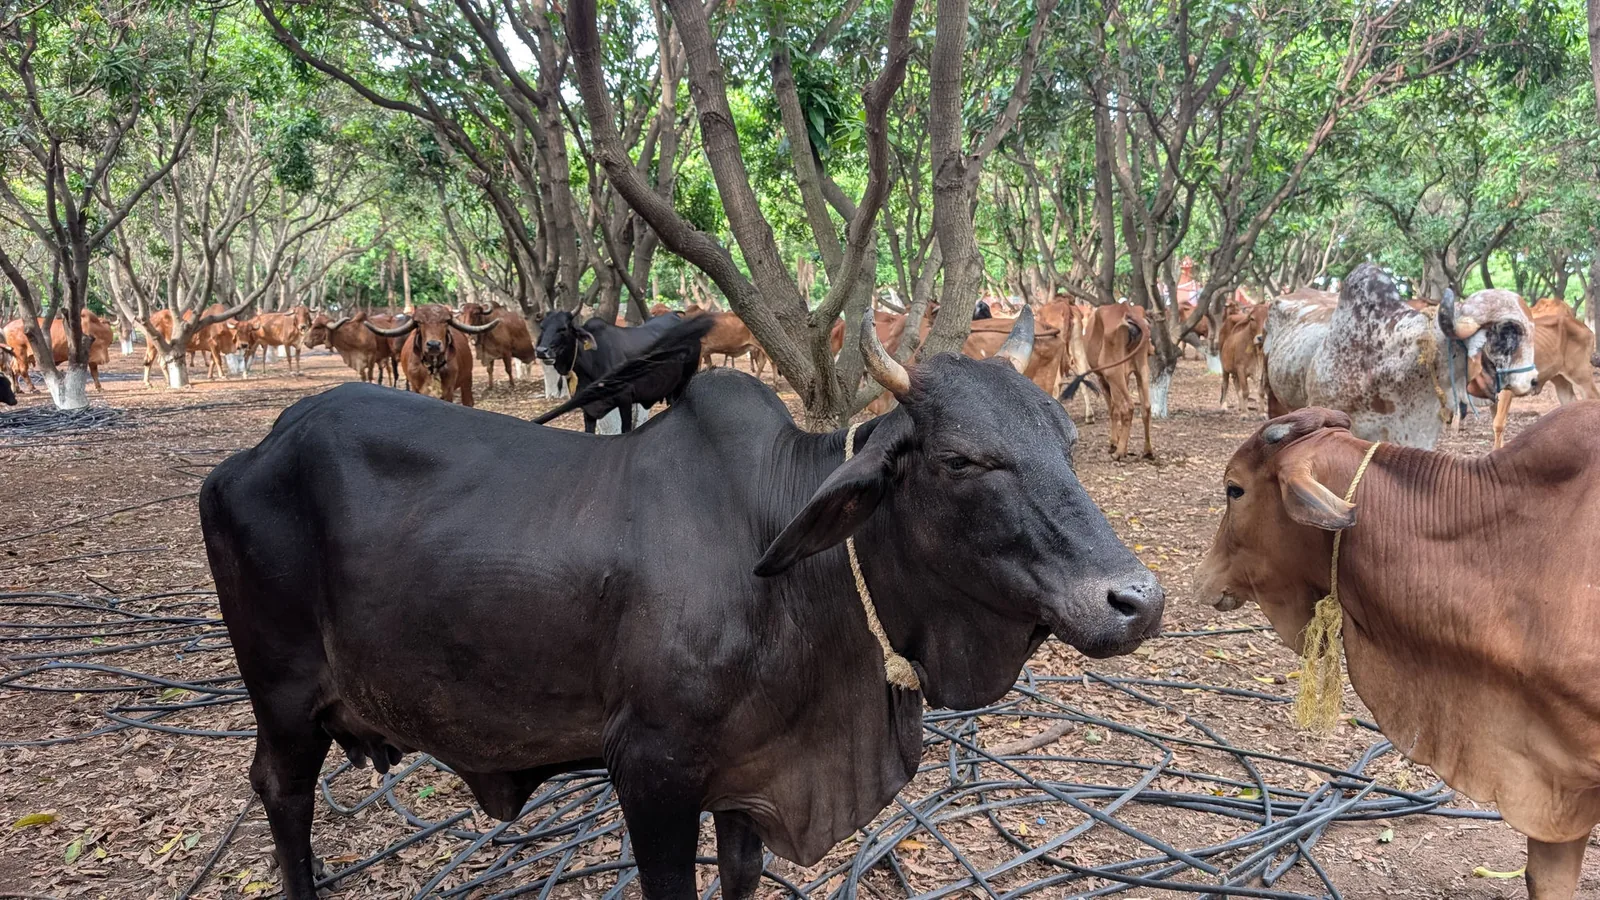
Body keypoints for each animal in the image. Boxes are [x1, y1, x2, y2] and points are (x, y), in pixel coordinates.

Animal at [364, 304, 497, 406]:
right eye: (419, 322)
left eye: (445, 321)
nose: (433, 345)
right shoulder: (415, 388)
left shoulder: (448, 391)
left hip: (467, 379)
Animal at [1063, 304, 1153, 460]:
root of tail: (1126, 310)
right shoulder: (1124, 377)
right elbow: (1116, 407)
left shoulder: (1103, 379)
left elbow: (1113, 410)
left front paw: (1114, 443)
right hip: (1141, 368)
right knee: (1146, 407)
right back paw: (1147, 450)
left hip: (1113, 372)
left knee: (1128, 407)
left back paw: (1119, 452)